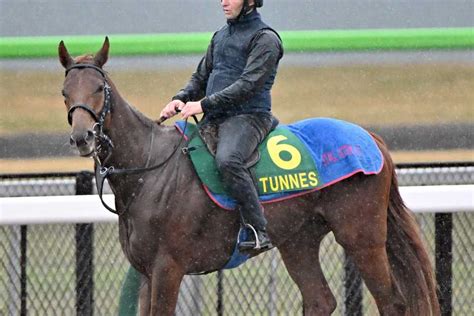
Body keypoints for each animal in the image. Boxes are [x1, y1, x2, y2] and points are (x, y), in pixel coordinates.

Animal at [57, 37, 438, 316]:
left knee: (392, 302)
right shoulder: (146, 271)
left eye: (100, 88)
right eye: (65, 92)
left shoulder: (168, 268)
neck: (150, 170)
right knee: (320, 299)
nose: (82, 137)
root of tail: (371, 138)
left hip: (362, 237)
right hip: (298, 240)